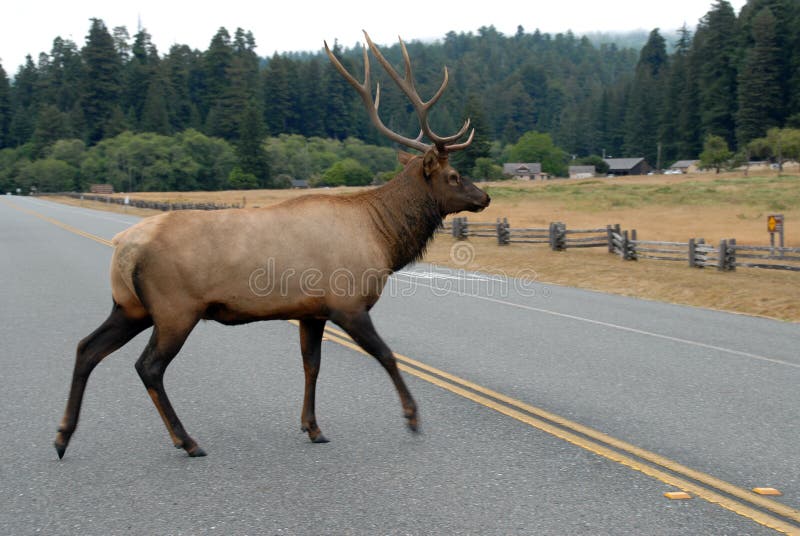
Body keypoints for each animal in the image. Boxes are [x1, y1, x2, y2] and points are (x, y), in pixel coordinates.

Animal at [53, 31, 490, 458]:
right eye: (453, 176)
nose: (484, 197)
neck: (381, 237)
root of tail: (122, 246)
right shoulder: (347, 303)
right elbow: (385, 354)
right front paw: (412, 418)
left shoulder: (312, 310)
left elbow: (311, 365)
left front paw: (313, 427)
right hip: (175, 308)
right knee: (148, 366)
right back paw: (187, 441)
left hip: (131, 306)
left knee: (86, 347)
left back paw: (62, 436)